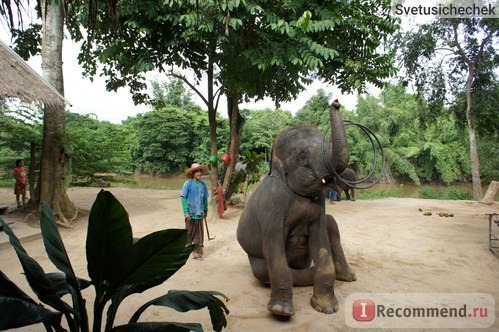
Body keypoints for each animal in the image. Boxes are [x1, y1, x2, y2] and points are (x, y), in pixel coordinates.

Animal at [237, 100, 358, 316]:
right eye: (302, 157)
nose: (336, 103)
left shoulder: (319, 205)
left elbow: (321, 239)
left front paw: (326, 308)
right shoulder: (272, 203)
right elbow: (275, 246)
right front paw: (280, 311)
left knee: (331, 223)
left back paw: (346, 276)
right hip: (254, 258)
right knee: (263, 271)